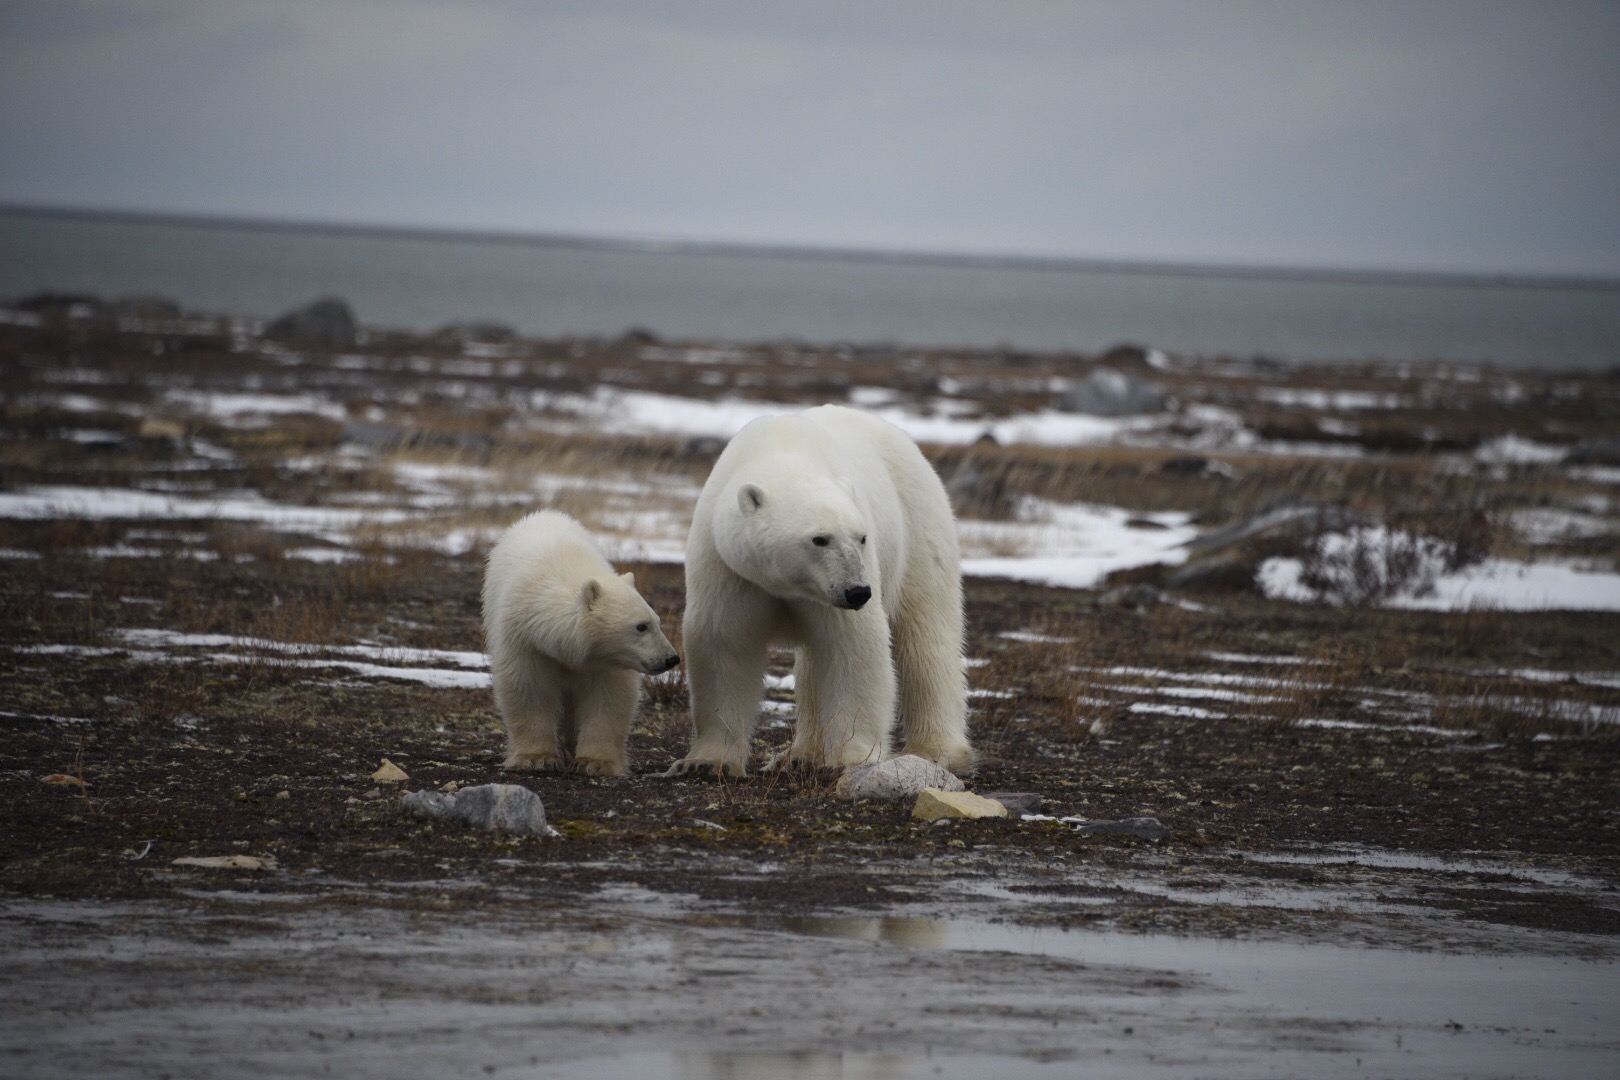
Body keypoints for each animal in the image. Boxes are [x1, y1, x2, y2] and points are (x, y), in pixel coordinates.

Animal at [667, 404, 965, 777]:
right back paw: (800, 754)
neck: (782, 451)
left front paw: (852, 755)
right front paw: (704, 762)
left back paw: (937, 750)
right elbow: (723, 643)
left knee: (926, 634)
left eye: (861, 537)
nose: (858, 592)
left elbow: (852, 646)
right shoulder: (728, 566)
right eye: (819, 539)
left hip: (918, 523)